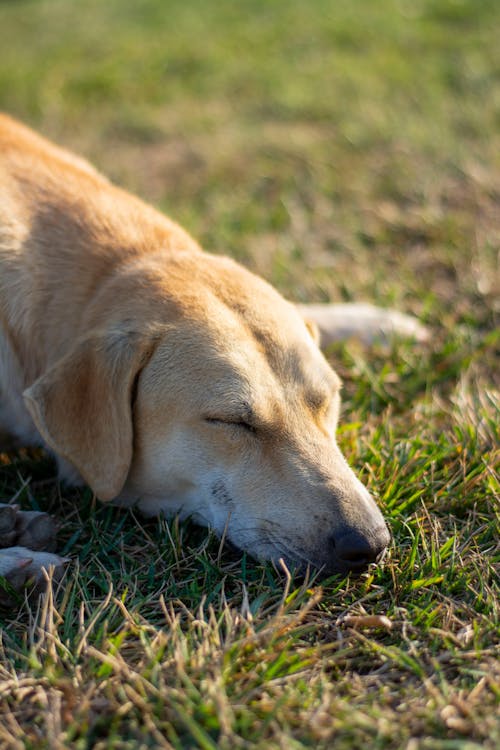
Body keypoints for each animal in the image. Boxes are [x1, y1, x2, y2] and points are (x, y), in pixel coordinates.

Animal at [0, 114, 428, 592]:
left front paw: (378, 322)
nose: (370, 545)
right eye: (230, 422)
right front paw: (17, 562)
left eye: (328, 401)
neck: (115, 268)